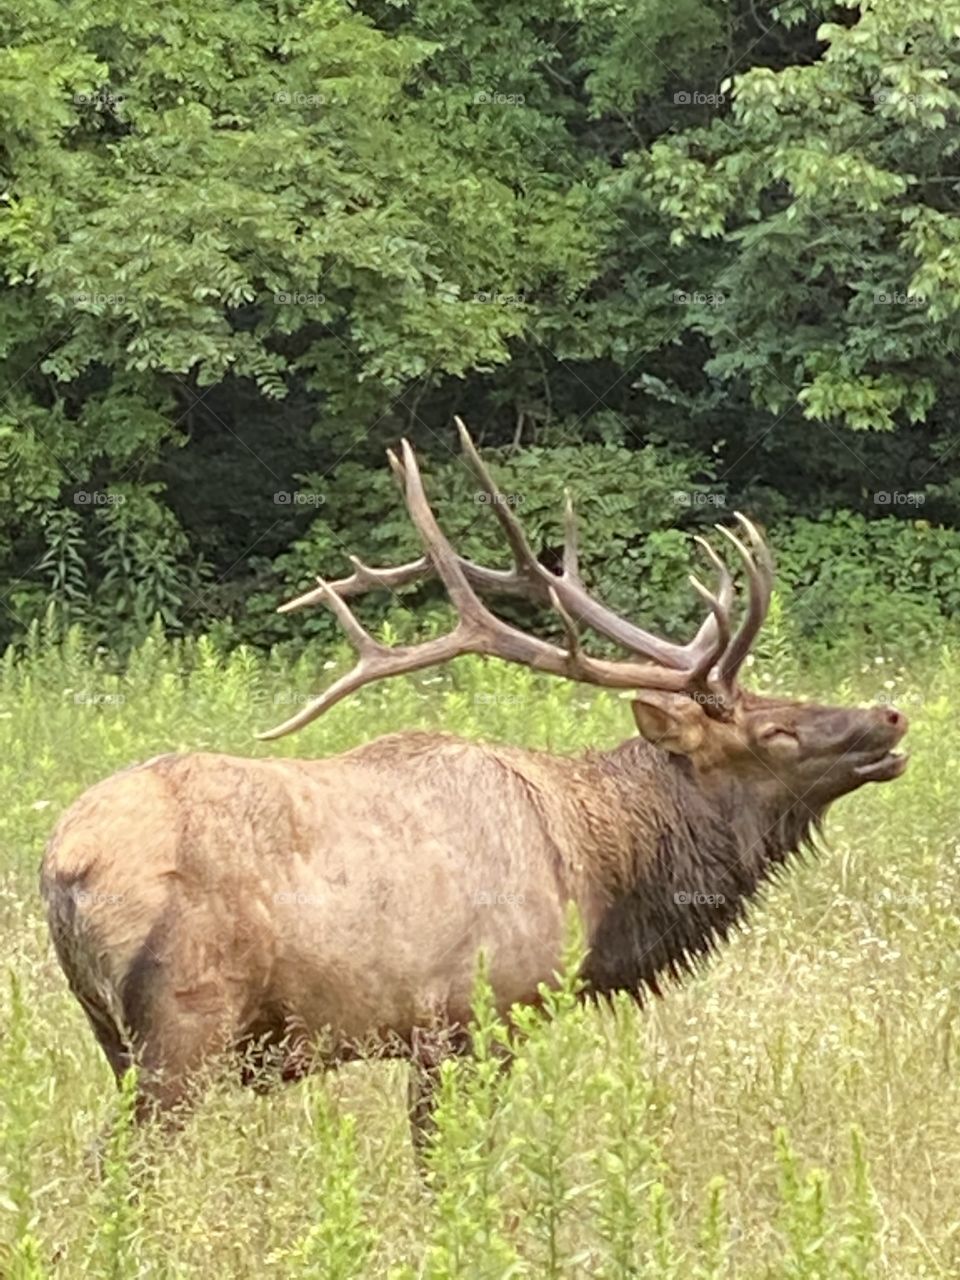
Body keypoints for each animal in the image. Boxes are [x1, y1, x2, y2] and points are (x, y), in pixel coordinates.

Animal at [41, 420, 909, 1149]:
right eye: (772, 730)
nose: (891, 718)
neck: (598, 878)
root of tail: (63, 865)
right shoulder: (474, 1020)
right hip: (182, 1027)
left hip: (110, 1034)